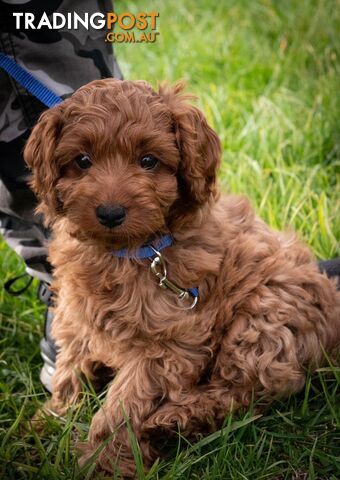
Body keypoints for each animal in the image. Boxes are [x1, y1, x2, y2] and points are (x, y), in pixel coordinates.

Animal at [24, 79, 340, 476]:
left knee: (242, 394)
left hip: (263, 320)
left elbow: (123, 406)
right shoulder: (77, 321)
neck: (130, 251)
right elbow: (69, 374)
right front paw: (45, 424)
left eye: (148, 161)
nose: (110, 213)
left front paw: (103, 462)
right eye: (82, 161)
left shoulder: (169, 345)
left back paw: (175, 420)